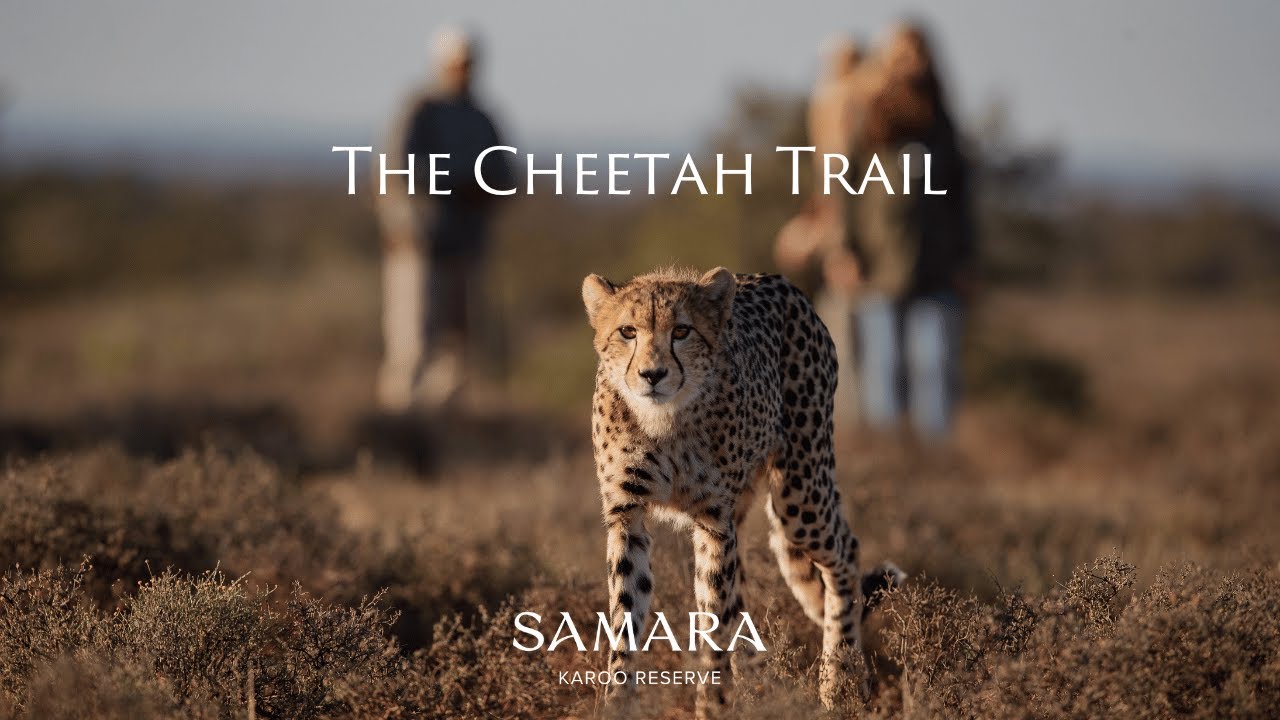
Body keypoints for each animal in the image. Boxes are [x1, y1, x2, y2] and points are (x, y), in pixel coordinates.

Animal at [582, 265, 903, 718]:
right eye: (627, 331)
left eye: (682, 331)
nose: (652, 375)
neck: (664, 419)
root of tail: (776, 280)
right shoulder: (628, 516)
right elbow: (628, 615)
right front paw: (618, 702)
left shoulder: (714, 520)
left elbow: (714, 619)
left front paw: (713, 704)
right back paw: (760, 685)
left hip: (800, 492)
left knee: (846, 551)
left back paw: (839, 680)